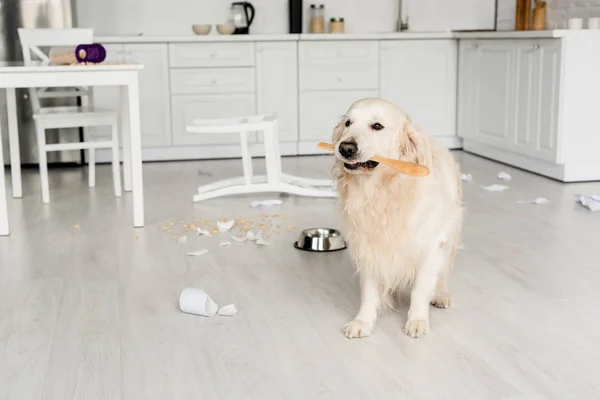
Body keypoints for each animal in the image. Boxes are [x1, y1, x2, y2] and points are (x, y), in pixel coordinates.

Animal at [330, 97, 462, 338]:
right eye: (348, 123)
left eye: (377, 126)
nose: (345, 148)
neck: (383, 191)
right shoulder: (369, 248)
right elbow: (369, 293)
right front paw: (362, 322)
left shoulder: (430, 246)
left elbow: (421, 288)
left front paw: (417, 321)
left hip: (451, 233)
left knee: (443, 270)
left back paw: (440, 294)